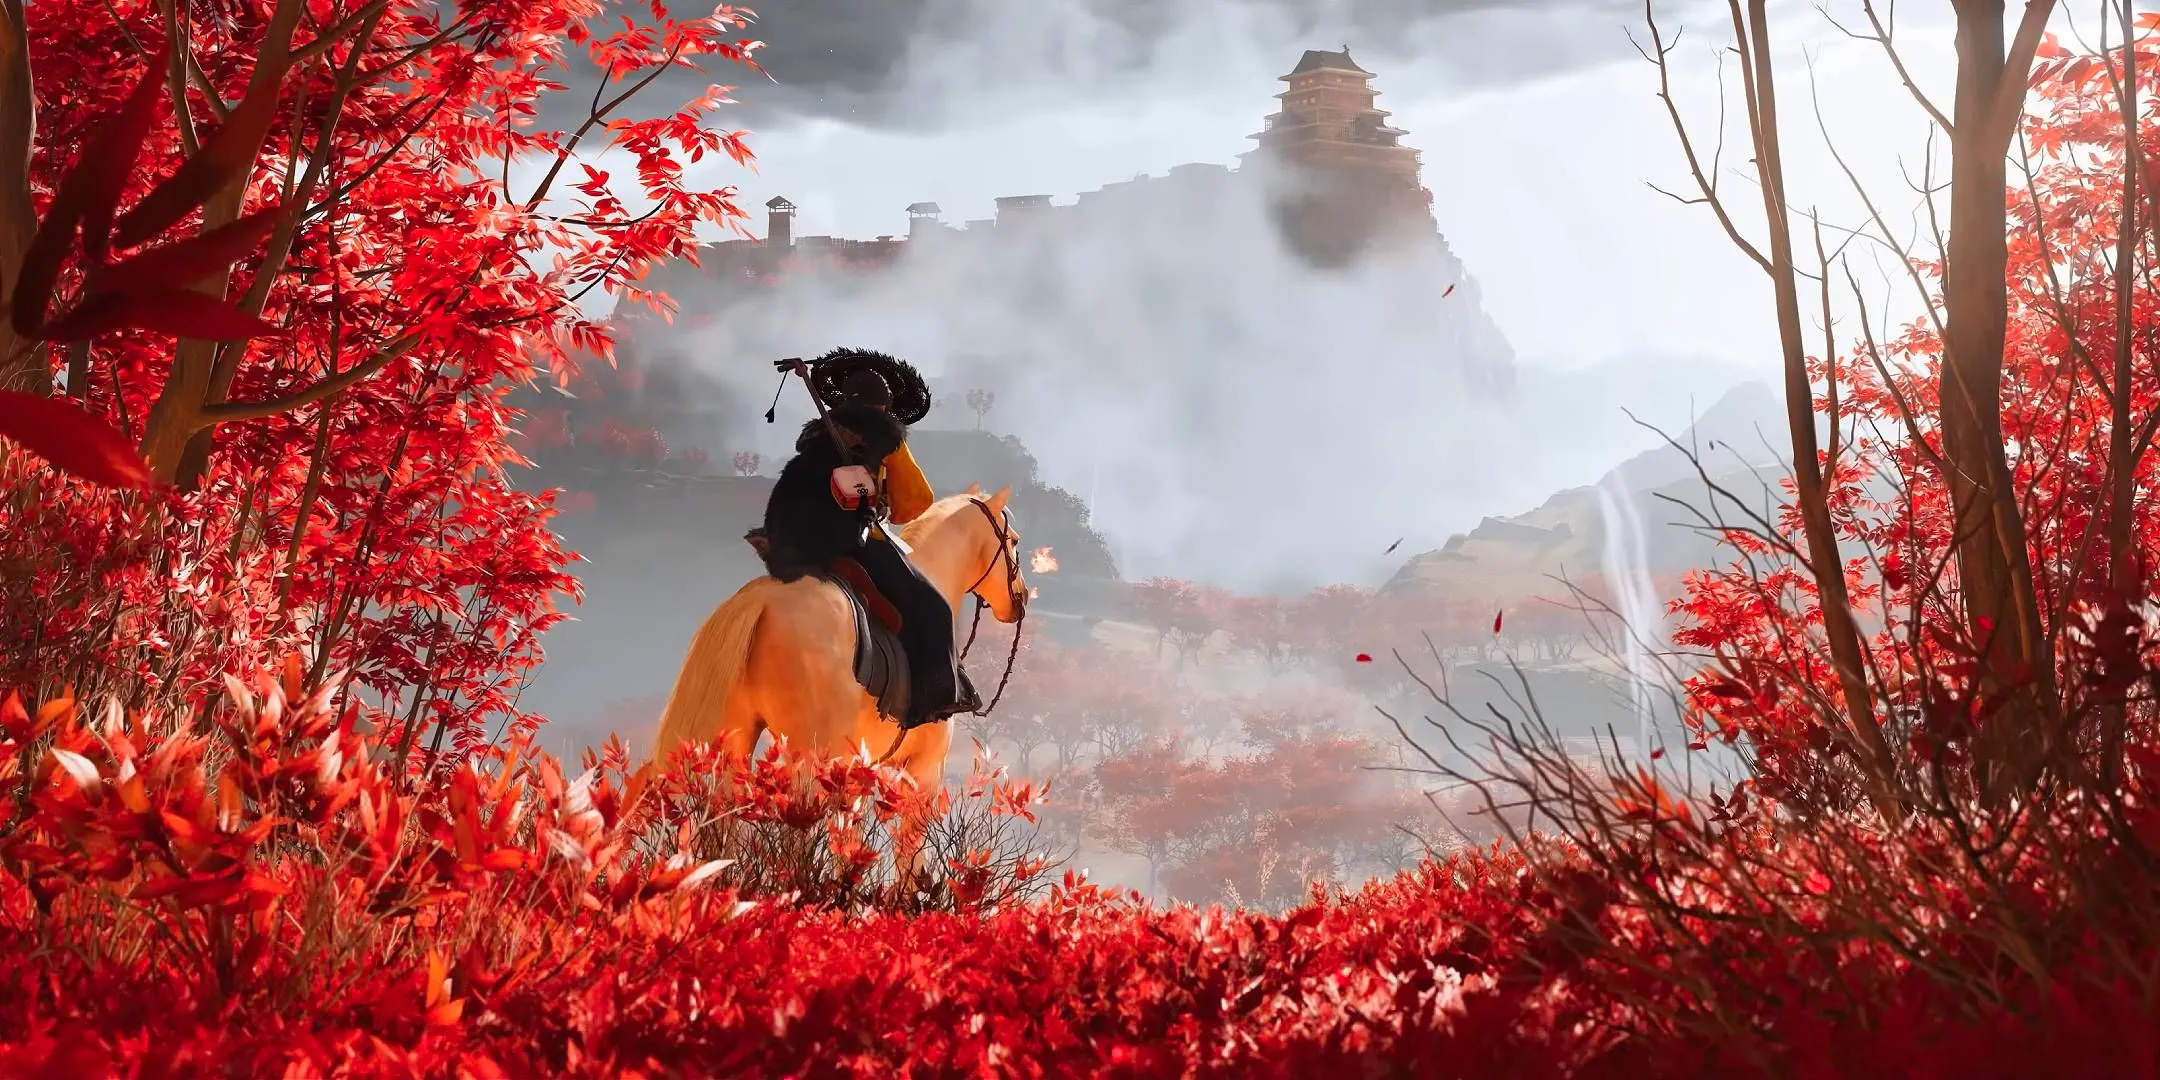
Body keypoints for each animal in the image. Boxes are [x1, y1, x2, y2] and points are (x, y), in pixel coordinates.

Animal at [648, 486, 1028, 881]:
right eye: (1014, 541)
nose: (1022, 598)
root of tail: (764, 599)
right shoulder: (924, 771)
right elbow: (910, 856)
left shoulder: (860, 773)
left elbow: (850, 848)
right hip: (810, 762)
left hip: (734, 748)